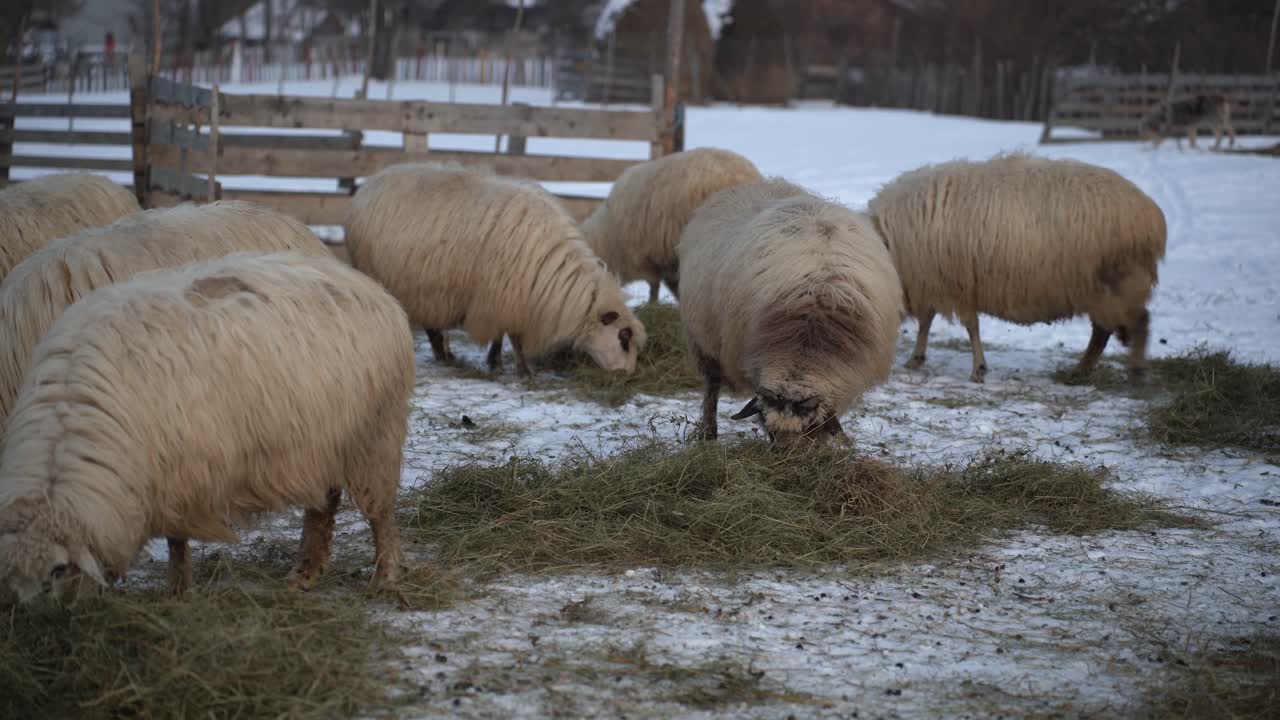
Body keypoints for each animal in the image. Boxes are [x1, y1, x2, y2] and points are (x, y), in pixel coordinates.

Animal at [0, 251, 414, 599]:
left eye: (57, 571)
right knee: (323, 508)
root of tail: (365, 284)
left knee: (380, 518)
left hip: (373, 437)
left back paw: (384, 579)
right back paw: (305, 574)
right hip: (325, 442)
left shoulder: (181, 472)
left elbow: (177, 541)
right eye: (11, 576)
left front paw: (179, 590)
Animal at [345, 162, 646, 376]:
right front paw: (521, 370)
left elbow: (501, 336)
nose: (628, 374)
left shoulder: (503, 296)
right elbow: (514, 337)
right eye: (623, 338)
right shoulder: (505, 296)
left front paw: (495, 361)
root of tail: (371, 181)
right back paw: (442, 355)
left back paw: (446, 353)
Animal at [678, 178, 903, 444]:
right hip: (703, 341)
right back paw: (709, 432)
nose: (786, 456)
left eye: (807, 429)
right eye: (771, 431)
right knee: (711, 386)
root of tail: (752, 185)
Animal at [867, 152, 1167, 383]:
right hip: (1103, 288)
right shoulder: (932, 282)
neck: (891, 246)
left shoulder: (953, 284)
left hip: (1117, 282)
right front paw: (917, 358)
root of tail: (1152, 216)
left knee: (1136, 323)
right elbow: (928, 321)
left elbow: (969, 326)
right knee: (1104, 331)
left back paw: (1131, 370)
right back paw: (1081, 371)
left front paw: (978, 369)